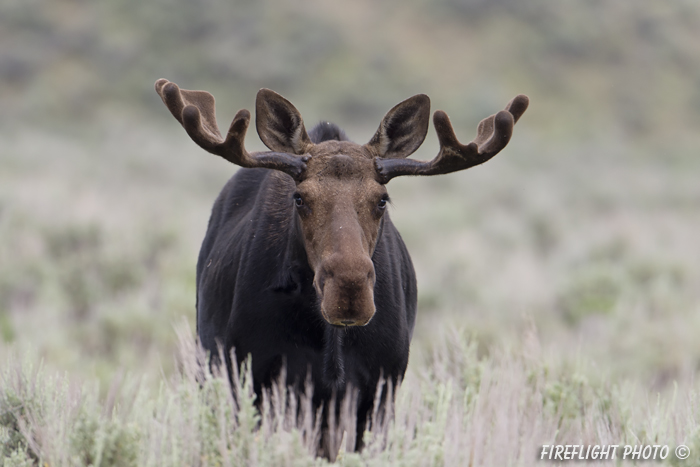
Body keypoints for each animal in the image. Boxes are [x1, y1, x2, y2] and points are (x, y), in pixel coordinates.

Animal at [153, 78, 524, 456]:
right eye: (299, 198)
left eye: (382, 199)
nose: (348, 292)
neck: (328, 340)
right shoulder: (248, 376)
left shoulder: (380, 389)